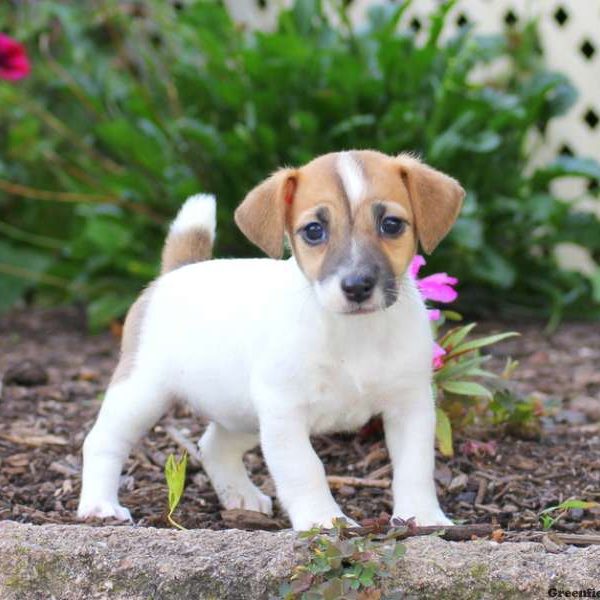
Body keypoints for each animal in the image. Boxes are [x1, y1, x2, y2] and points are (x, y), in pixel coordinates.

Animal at [77, 150, 464, 528]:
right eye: (314, 231)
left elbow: (415, 466)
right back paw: (100, 505)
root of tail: (178, 271)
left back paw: (240, 496)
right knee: (102, 441)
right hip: (142, 393)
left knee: (214, 446)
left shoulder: (410, 406)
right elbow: (305, 469)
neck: (354, 332)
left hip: (242, 412)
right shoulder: (284, 412)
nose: (356, 287)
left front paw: (422, 517)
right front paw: (324, 520)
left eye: (392, 225)